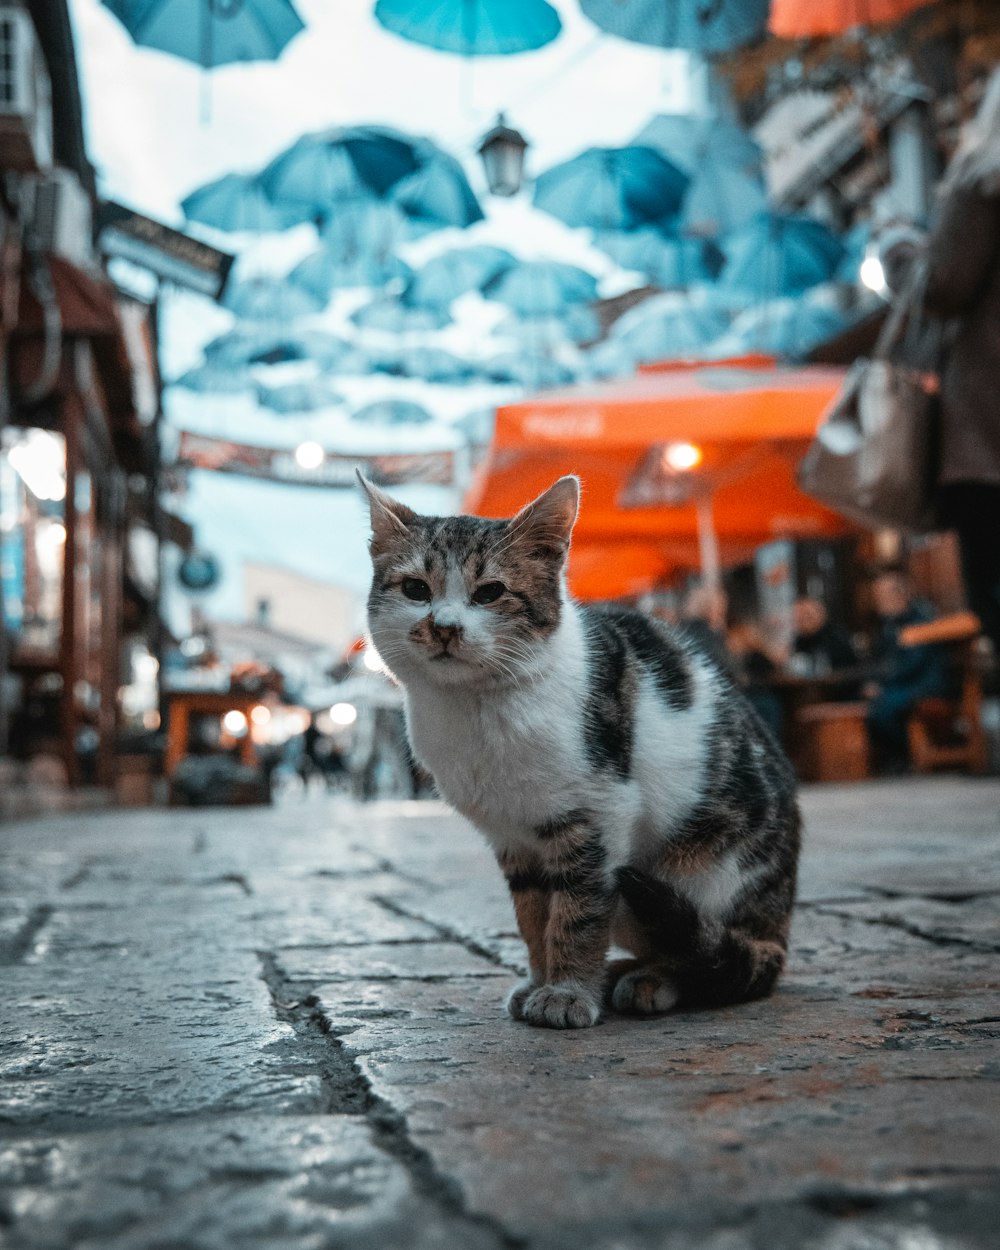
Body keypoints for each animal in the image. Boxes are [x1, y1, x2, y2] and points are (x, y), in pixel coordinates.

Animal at [360, 472, 795, 1030]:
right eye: (416, 589)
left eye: (490, 592)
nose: (445, 626)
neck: (477, 709)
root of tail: (777, 925)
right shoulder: (514, 837)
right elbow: (533, 917)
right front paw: (541, 980)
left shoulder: (598, 813)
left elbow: (578, 912)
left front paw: (567, 992)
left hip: (692, 875)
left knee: (709, 952)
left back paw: (651, 980)